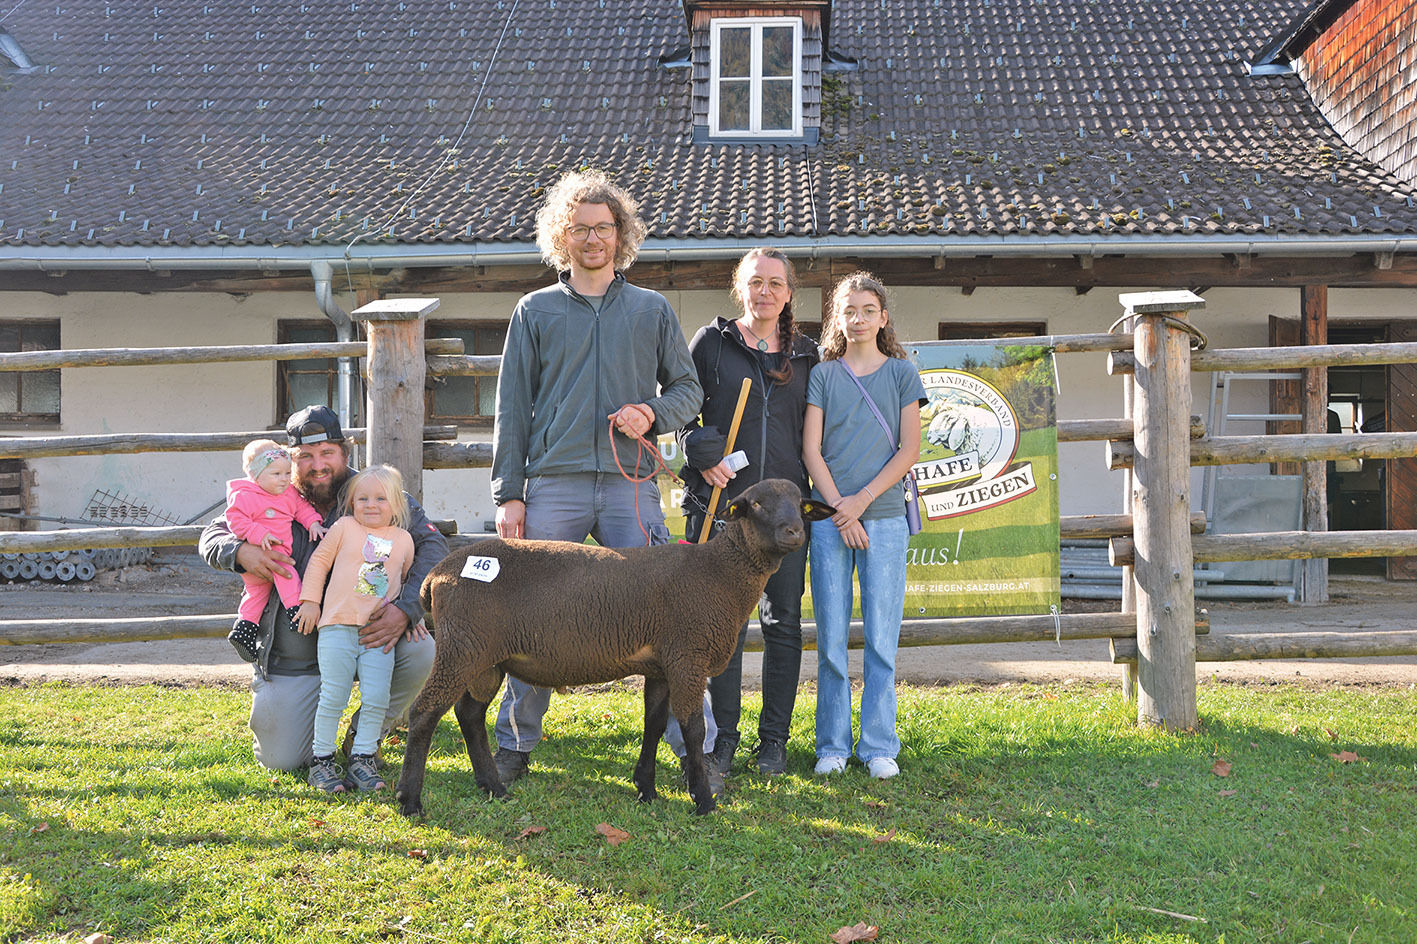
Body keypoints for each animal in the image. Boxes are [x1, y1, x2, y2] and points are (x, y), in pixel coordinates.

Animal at [391, 481, 827, 810]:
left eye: (800, 506)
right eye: (756, 504)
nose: (794, 533)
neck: (721, 573)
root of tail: (437, 574)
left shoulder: (660, 666)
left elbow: (654, 725)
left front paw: (647, 789)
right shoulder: (688, 657)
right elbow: (693, 728)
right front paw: (702, 799)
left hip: (485, 657)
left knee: (469, 714)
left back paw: (493, 787)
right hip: (462, 648)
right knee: (426, 711)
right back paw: (410, 799)